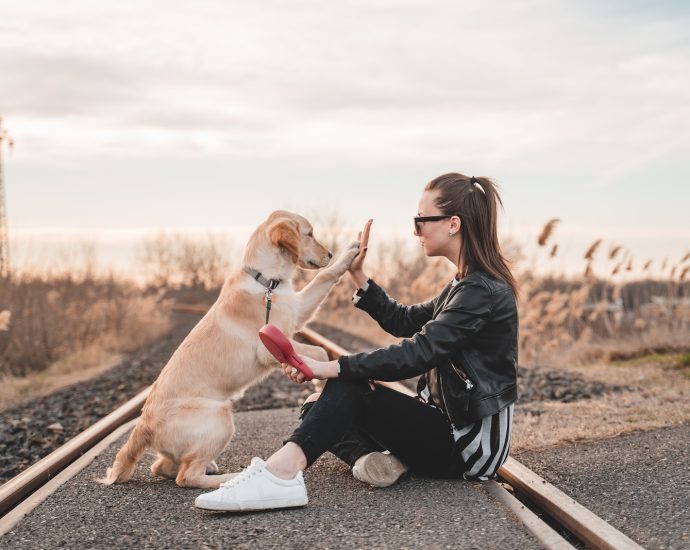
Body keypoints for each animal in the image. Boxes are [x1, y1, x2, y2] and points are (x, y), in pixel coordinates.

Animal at [99, 212, 358, 492]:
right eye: (309, 234)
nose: (330, 253)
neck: (266, 281)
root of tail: (143, 426)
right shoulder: (268, 345)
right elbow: (320, 351)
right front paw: (319, 385)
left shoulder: (297, 310)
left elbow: (324, 277)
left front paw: (349, 253)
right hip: (220, 416)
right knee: (186, 476)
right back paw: (230, 478)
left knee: (161, 467)